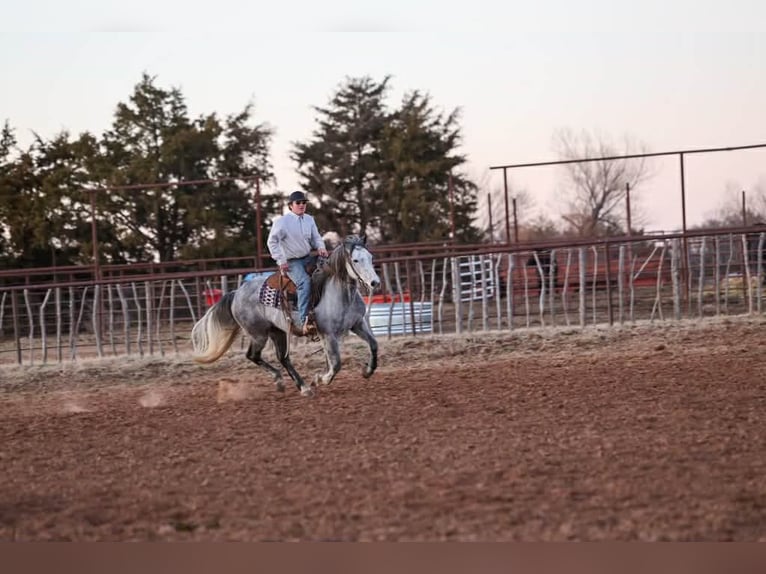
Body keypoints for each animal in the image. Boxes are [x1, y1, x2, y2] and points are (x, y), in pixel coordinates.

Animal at [190, 234, 380, 397]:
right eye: (355, 260)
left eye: (371, 257)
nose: (375, 283)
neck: (338, 293)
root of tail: (236, 293)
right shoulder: (328, 334)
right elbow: (336, 363)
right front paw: (320, 379)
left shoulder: (358, 324)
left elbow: (373, 345)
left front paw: (367, 371)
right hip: (259, 334)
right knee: (253, 355)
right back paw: (284, 381)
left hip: (278, 331)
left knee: (282, 358)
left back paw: (302, 387)